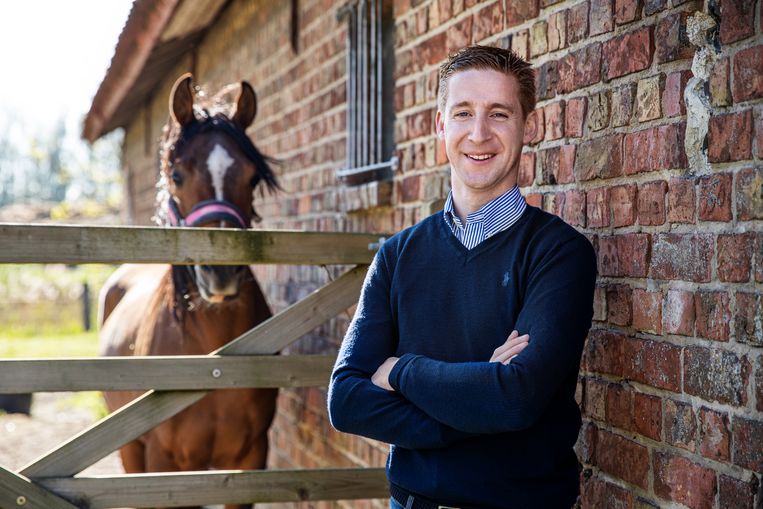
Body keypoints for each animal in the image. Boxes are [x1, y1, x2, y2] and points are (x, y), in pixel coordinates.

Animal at [99, 72, 280, 508]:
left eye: (252, 177)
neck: (213, 362)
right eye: (177, 175)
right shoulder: (169, 465)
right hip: (131, 450)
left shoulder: (249, 461)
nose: (222, 273)